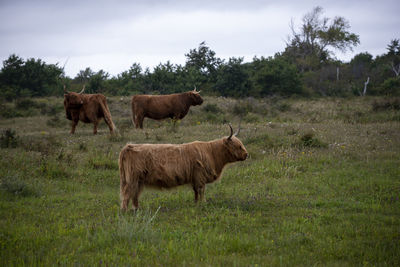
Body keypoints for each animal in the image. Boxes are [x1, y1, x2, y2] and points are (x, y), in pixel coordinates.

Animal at [118, 125, 247, 211]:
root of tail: (128, 146)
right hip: (132, 179)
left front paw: (196, 204)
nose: (246, 154)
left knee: (135, 194)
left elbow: (196, 192)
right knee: (127, 193)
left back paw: (136, 209)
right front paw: (203, 204)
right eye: (238, 146)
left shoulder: (195, 179)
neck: (211, 153)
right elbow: (201, 191)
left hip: (138, 181)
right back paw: (125, 211)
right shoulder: (200, 177)